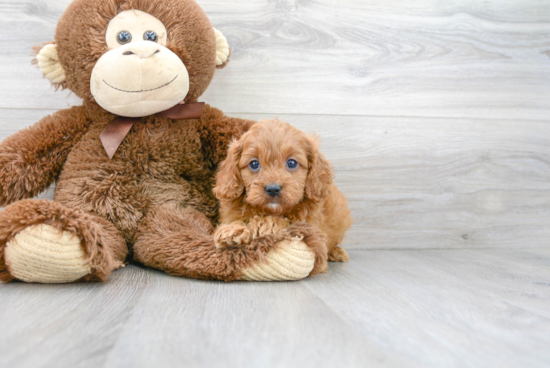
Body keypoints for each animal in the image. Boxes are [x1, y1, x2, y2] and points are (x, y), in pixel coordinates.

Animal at [212, 118, 354, 262]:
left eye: (292, 163)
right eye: (254, 164)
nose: (273, 189)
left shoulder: (309, 225)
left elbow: (290, 224)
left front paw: (266, 222)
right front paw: (232, 229)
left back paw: (336, 251)